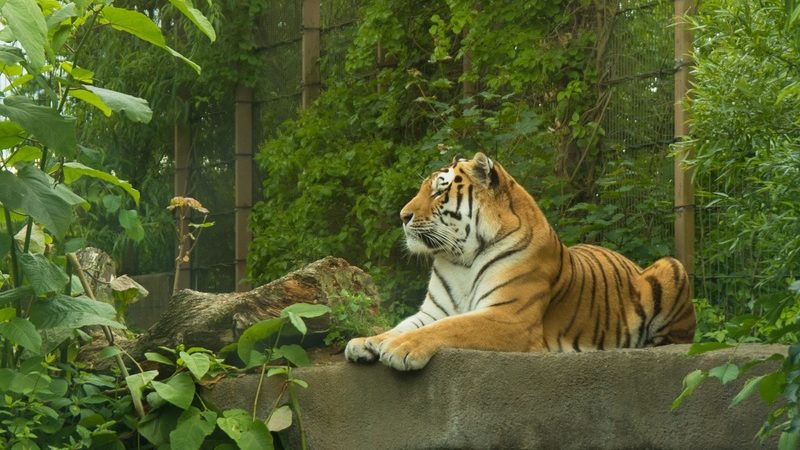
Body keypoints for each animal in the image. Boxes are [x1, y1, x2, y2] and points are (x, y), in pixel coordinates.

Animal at [345, 152, 696, 371]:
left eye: (438, 193)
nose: (402, 216)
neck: (459, 259)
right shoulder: (433, 311)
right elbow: (400, 326)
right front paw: (366, 342)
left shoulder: (509, 316)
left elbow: (450, 327)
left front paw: (400, 348)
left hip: (672, 267)